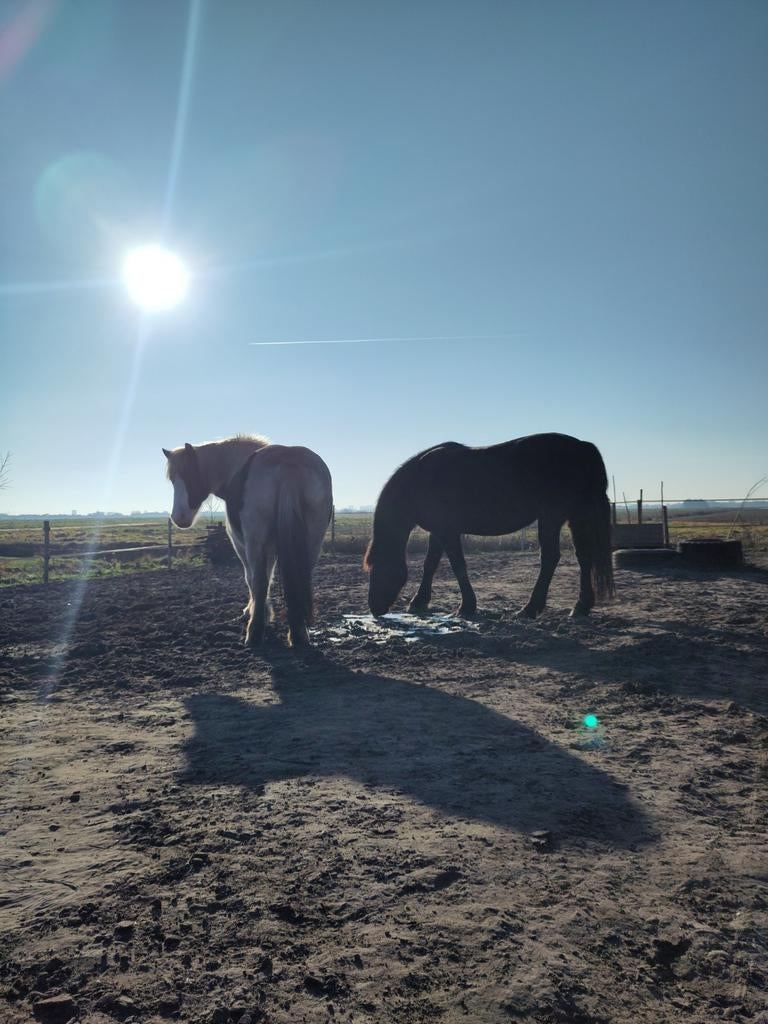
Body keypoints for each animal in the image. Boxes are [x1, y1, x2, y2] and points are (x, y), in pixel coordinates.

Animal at [163, 435, 333, 647]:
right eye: (172, 480)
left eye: (189, 475)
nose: (178, 517)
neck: (235, 466)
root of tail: (288, 461)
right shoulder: (271, 547)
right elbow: (269, 576)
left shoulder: (241, 544)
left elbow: (253, 579)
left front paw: (255, 612)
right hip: (311, 542)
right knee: (300, 578)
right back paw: (299, 634)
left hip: (255, 542)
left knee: (258, 580)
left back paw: (254, 633)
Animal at [364, 432, 614, 620]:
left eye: (378, 566)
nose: (374, 608)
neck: (420, 480)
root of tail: (582, 446)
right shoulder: (438, 531)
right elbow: (430, 564)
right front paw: (419, 602)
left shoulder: (448, 532)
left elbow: (458, 565)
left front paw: (466, 607)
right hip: (575, 518)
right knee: (583, 557)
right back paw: (580, 606)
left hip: (552, 518)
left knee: (550, 558)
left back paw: (529, 609)